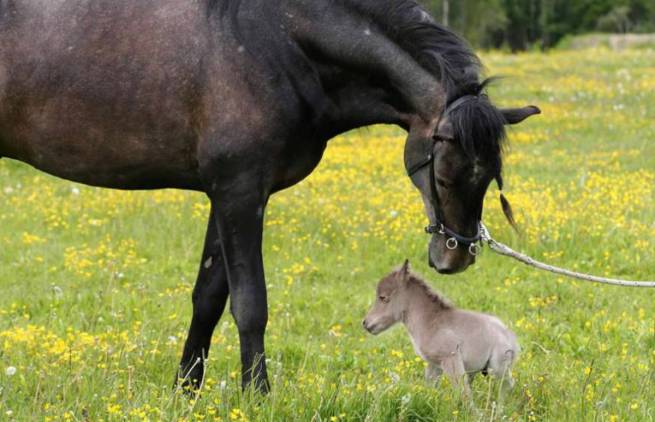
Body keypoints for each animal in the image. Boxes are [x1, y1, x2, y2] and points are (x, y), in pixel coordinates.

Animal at [362, 260, 520, 396]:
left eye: (383, 297)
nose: (365, 323)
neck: (430, 321)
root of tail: (513, 340)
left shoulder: (451, 359)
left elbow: (464, 394)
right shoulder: (434, 364)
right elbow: (431, 389)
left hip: (497, 368)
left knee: (507, 386)